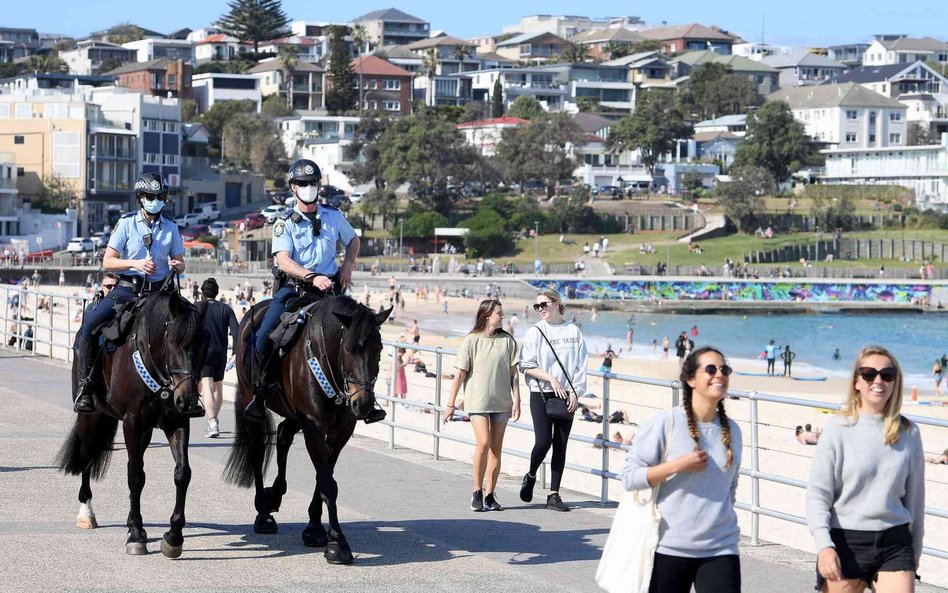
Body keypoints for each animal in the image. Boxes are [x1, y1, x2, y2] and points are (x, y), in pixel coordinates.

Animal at [56, 290, 207, 556]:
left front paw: (173, 537)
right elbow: (135, 475)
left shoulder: (176, 421)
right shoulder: (132, 423)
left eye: (202, 344)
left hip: (144, 432)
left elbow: (182, 473)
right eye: (173, 342)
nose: (188, 399)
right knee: (87, 454)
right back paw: (87, 512)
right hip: (91, 416)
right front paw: (136, 534)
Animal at [226, 296, 388, 564]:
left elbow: (324, 478)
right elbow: (328, 484)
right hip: (254, 404)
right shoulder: (313, 426)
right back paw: (263, 513)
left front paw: (315, 528)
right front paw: (337, 543)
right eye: (348, 349)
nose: (363, 403)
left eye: (379, 348)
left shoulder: (340, 432)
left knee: (283, 434)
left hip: (294, 415)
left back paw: (276, 493)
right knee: (258, 452)